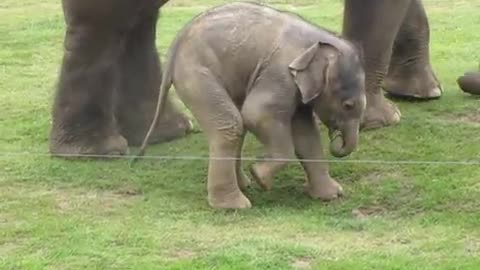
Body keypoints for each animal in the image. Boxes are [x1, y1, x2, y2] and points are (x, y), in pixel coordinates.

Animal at [49, 0, 442, 158]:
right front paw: (384, 120)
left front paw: (420, 95)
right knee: (108, 19)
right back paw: (96, 151)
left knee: (137, 16)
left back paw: (167, 133)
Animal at [135, 1, 368, 209]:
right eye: (348, 105)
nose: (337, 140)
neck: (318, 41)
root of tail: (175, 47)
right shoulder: (279, 73)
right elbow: (257, 114)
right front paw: (260, 178)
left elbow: (306, 134)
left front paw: (332, 195)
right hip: (195, 73)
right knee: (231, 124)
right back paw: (235, 205)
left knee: (237, 125)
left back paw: (243, 186)